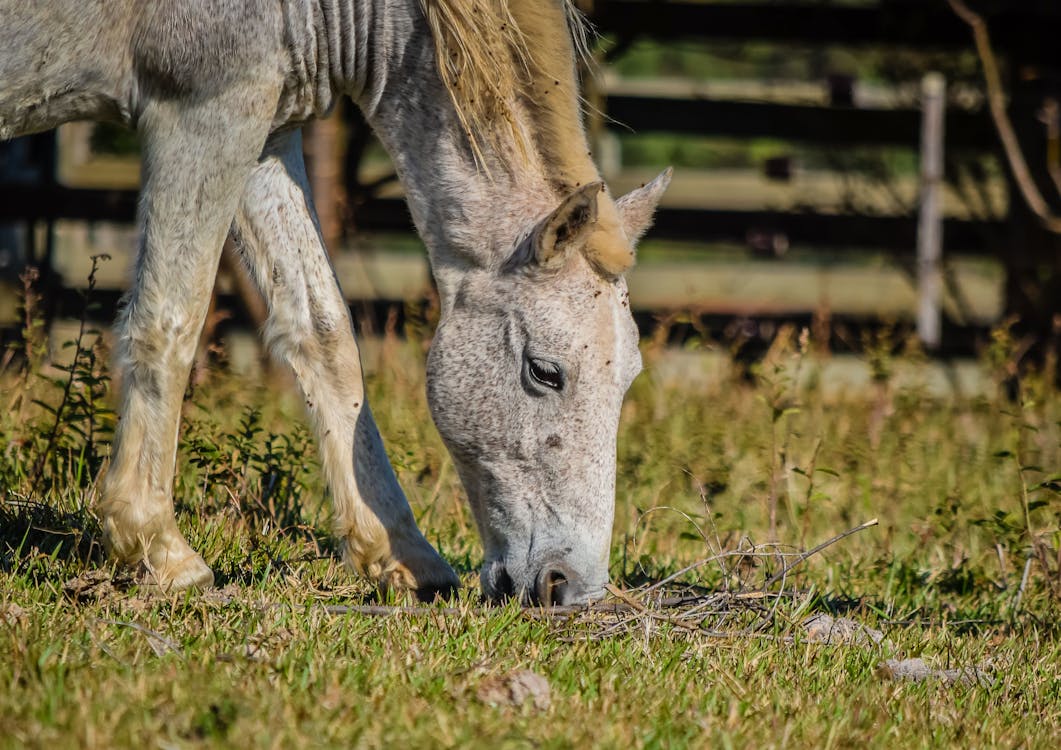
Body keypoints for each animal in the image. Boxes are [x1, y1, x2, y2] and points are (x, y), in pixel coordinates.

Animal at [0, 0, 666, 606]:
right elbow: (171, 319)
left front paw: (402, 554)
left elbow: (325, 332)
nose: (573, 588)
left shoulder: (264, 130)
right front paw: (158, 547)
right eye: (545, 372)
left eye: (630, 378)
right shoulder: (203, 111)